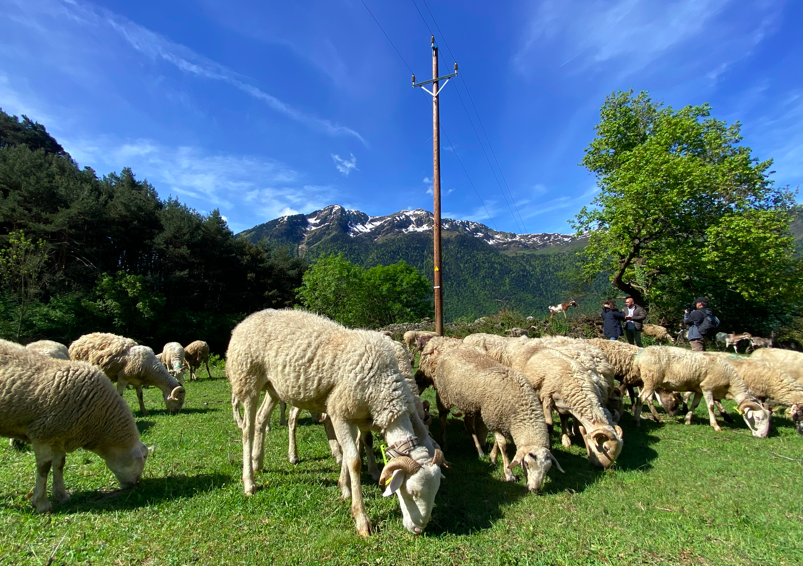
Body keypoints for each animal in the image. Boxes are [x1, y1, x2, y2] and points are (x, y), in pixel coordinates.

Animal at [0, 339, 148, 513]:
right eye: (142, 459)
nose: (134, 484)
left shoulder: (59, 436)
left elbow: (59, 464)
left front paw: (61, 495)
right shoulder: (42, 433)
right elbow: (44, 468)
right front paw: (41, 503)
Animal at [227, 309, 444, 536]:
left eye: (436, 490)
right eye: (411, 491)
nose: (418, 529)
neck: (383, 385)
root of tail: (246, 320)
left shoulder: (358, 416)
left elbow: (357, 447)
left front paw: (344, 486)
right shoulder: (339, 412)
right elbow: (354, 460)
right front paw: (361, 519)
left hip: (274, 388)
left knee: (261, 419)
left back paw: (258, 462)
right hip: (247, 380)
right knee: (248, 429)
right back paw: (250, 482)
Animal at [419, 336, 563, 489]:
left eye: (547, 469)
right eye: (527, 464)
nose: (534, 489)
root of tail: (450, 350)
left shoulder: (499, 420)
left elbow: (497, 443)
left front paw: (492, 457)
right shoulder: (492, 419)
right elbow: (503, 445)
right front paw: (509, 473)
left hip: (470, 404)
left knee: (468, 423)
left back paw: (479, 450)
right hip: (444, 396)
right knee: (443, 418)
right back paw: (444, 443)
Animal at [465, 334, 623, 468]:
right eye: (605, 447)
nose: (604, 467)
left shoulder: (563, 405)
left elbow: (572, 423)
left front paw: (567, 438)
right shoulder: (548, 396)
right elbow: (550, 425)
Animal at [632, 346, 771, 437]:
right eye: (757, 418)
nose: (763, 436)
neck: (729, 382)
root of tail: (639, 357)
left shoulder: (699, 389)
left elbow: (695, 405)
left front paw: (687, 420)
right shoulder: (707, 387)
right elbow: (711, 406)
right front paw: (716, 426)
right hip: (651, 380)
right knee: (641, 399)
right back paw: (637, 421)